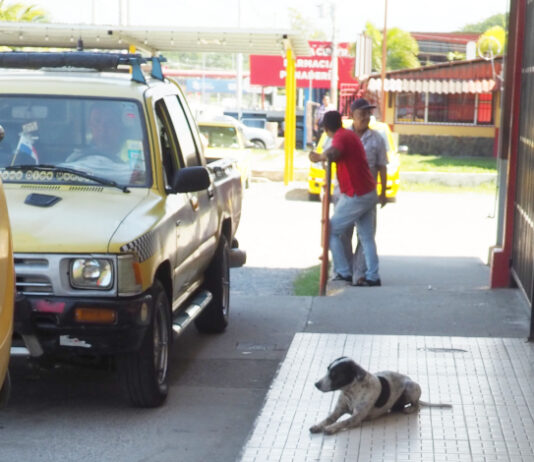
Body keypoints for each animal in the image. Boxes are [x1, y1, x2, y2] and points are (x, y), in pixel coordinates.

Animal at [310, 358, 452, 436]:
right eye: (327, 369)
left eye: (334, 374)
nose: (316, 384)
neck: (350, 392)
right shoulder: (337, 411)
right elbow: (328, 419)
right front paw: (318, 426)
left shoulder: (356, 418)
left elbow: (342, 422)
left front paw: (331, 428)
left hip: (411, 387)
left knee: (416, 405)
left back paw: (409, 409)